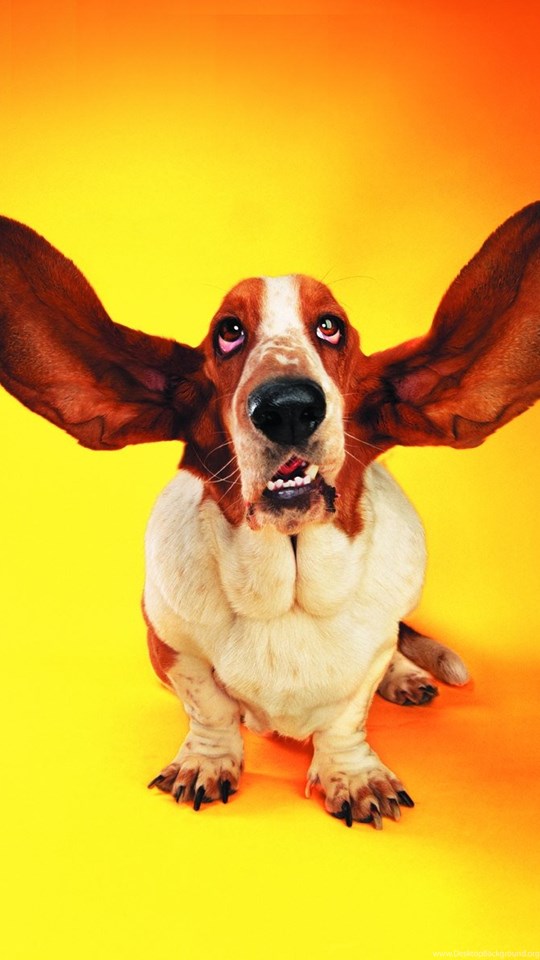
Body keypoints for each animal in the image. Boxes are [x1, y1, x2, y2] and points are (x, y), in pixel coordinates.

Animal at [1, 205, 538, 828]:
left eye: (330, 326)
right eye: (228, 332)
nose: (287, 406)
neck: (289, 592)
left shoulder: (371, 653)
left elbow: (348, 715)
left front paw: (354, 774)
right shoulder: (172, 646)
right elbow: (209, 709)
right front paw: (206, 763)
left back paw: (408, 678)